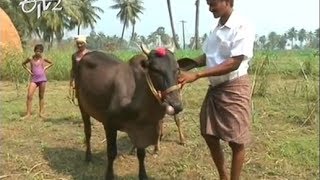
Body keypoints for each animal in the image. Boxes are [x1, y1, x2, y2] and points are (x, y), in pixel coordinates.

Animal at [75, 45, 195, 179]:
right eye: (155, 69)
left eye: (177, 69)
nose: (176, 105)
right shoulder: (109, 124)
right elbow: (111, 152)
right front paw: (109, 175)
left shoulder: (141, 128)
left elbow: (141, 153)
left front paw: (143, 175)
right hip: (82, 105)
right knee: (87, 132)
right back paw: (88, 156)